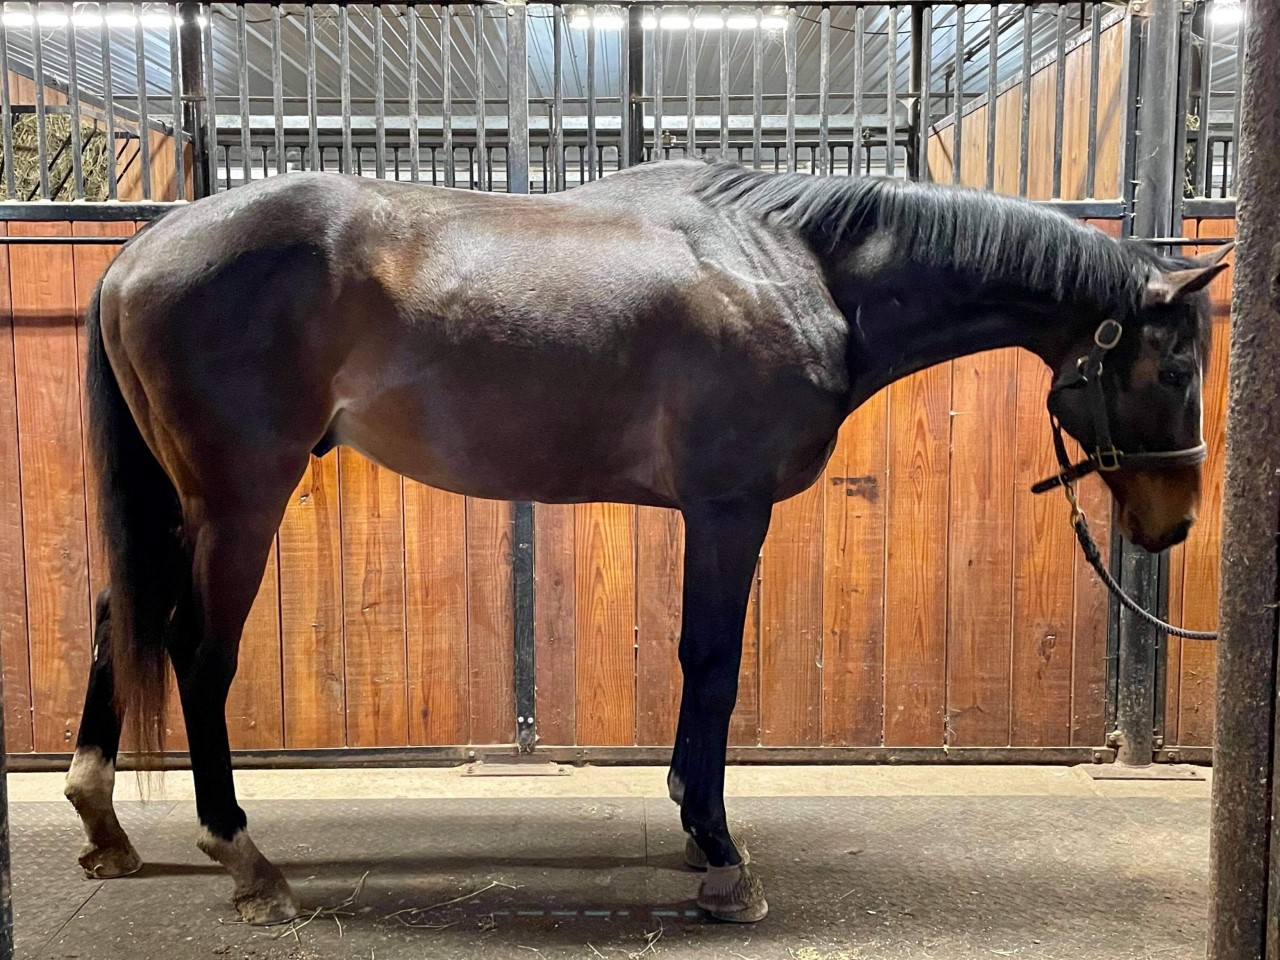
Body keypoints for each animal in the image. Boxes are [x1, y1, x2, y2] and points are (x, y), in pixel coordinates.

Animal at [64, 159, 1229, 926]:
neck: (800, 269)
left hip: (179, 502)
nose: (1169, 523)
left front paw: (688, 818)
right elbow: (709, 663)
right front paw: (717, 851)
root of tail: (142, 250)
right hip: (238, 500)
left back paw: (103, 826)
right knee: (196, 651)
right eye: (1175, 367)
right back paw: (246, 859)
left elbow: (696, 666)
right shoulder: (728, 507)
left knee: (118, 614)